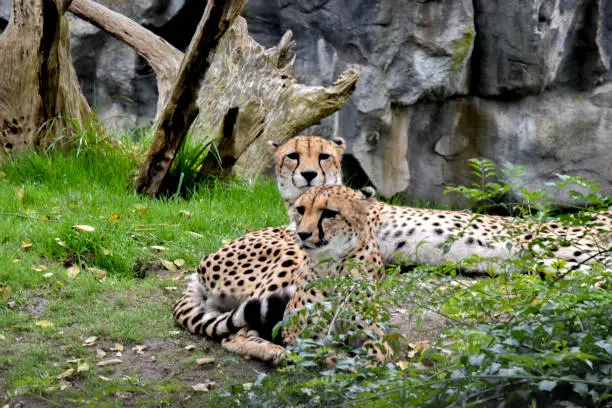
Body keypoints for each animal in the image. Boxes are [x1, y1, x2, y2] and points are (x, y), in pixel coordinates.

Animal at [172, 186, 384, 364]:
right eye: (301, 210)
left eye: (330, 213)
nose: (302, 234)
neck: (335, 266)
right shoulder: (297, 335)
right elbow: (322, 350)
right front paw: (341, 360)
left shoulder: (375, 336)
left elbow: (377, 354)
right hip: (286, 257)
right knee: (235, 334)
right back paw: (273, 351)